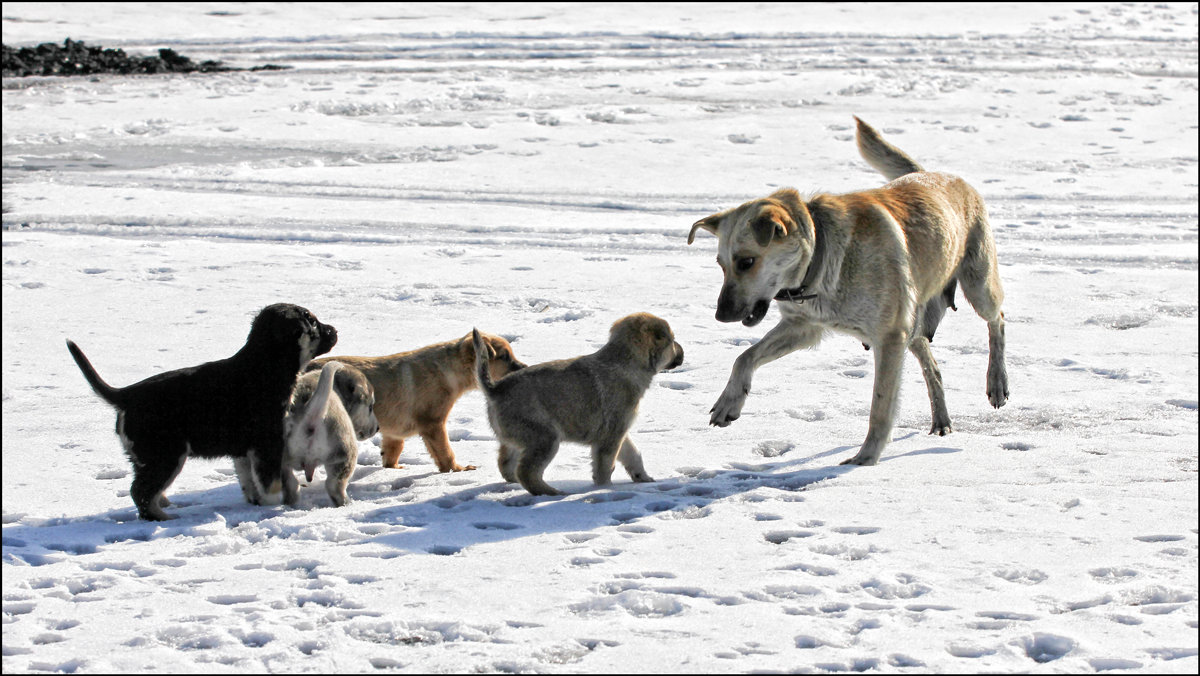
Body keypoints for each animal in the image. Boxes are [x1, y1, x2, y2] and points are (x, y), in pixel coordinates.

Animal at [67, 303, 338, 521]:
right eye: (312, 322)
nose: (335, 330)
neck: (265, 365)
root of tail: (125, 395)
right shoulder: (267, 443)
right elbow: (269, 483)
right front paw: (273, 507)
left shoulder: (245, 451)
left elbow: (248, 481)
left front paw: (256, 503)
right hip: (166, 456)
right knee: (140, 491)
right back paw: (162, 517)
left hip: (148, 456)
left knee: (145, 486)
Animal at [280, 362, 374, 504]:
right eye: (370, 407)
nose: (378, 428)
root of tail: (308, 414)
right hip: (345, 452)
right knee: (333, 485)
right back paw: (346, 503)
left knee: (290, 484)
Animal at [307, 331, 523, 470]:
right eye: (504, 356)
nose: (524, 367)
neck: (447, 370)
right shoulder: (433, 423)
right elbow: (445, 452)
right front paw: (457, 469)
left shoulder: (394, 432)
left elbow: (393, 450)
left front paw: (393, 468)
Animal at [470, 314, 686, 497]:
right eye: (671, 340)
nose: (683, 350)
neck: (625, 360)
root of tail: (495, 389)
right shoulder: (610, 436)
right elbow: (605, 467)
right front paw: (603, 488)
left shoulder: (620, 432)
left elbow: (632, 455)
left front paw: (643, 478)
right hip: (545, 438)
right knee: (527, 472)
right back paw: (553, 493)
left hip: (520, 439)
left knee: (506, 464)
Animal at [691, 117, 1008, 465]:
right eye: (721, 264)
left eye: (746, 261)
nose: (721, 316)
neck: (823, 258)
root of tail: (938, 174)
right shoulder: (804, 327)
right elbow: (744, 357)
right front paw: (729, 403)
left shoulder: (889, 337)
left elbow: (880, 408)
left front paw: (866, 459)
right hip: (914, 324)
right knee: (932, 366)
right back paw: (941, 419)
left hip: (978, 285)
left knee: (998, 320)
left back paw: (997, 383)